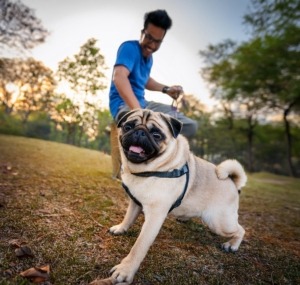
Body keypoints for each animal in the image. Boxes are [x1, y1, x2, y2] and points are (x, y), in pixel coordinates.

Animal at [91, 108, 246, 284]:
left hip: (218, 222)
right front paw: (121, 228)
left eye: (156, 135)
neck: (148, 170)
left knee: (241, 230)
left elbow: (139, 246)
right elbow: (128, 218)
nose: (139, 132)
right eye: (128, 127)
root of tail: (232, 181)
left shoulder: (155, 216)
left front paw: (126, 270)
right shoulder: (135, 202)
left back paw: (232, 245)